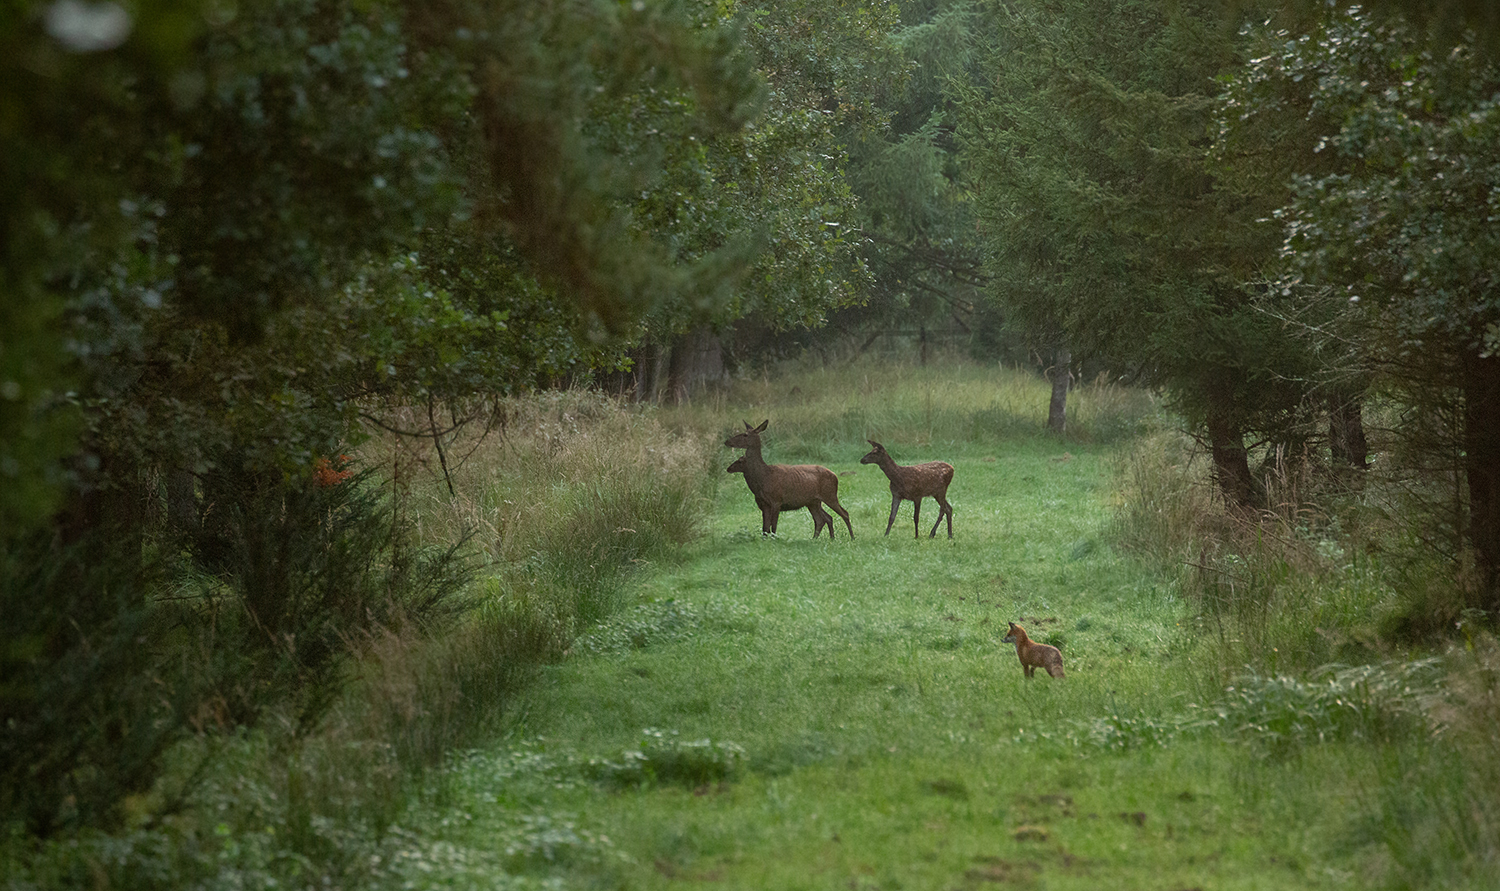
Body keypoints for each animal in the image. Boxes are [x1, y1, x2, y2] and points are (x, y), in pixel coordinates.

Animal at [726, 420, 858, 537]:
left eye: (745, 434)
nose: (727, 441)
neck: (763, 477)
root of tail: (835, 476)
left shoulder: (776, 500)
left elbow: (773, 527)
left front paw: (774, 540)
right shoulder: (763, 505)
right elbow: (765, 529)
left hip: (829, 494)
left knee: (844, 513)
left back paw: (852, 538)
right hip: (813, 501)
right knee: (823, 519)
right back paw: (823, 539)